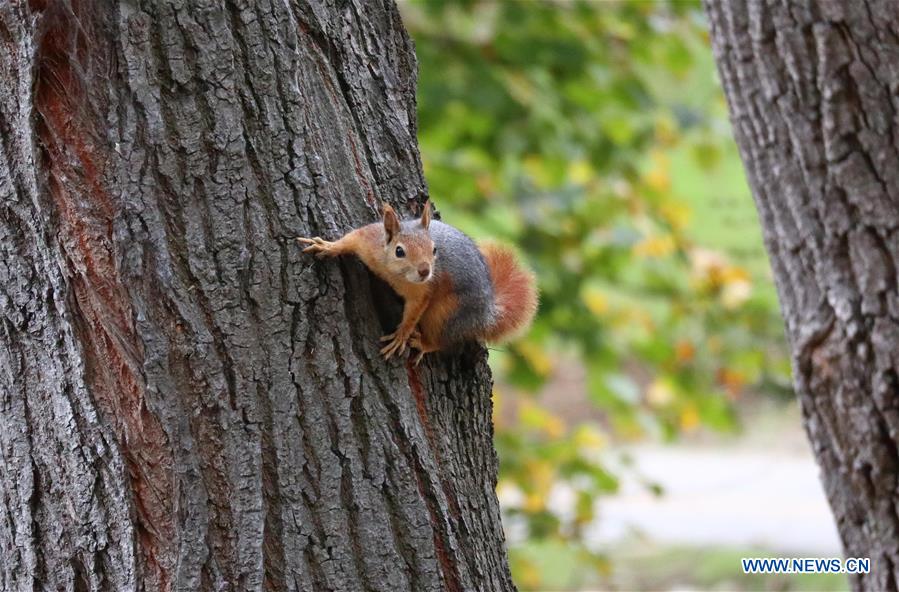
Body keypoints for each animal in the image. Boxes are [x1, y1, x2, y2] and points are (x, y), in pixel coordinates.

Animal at [297, 201, 538, 365]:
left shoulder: (423, 291)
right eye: (399, 251)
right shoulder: (368, 240)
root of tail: (486, 315)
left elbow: (414, 311)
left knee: (443, 340)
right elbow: (350, 239)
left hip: (446, 315)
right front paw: (328, 246)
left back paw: (423, 343)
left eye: (434, 249)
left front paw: (402, 335)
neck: (394, 273)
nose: (425, 271)